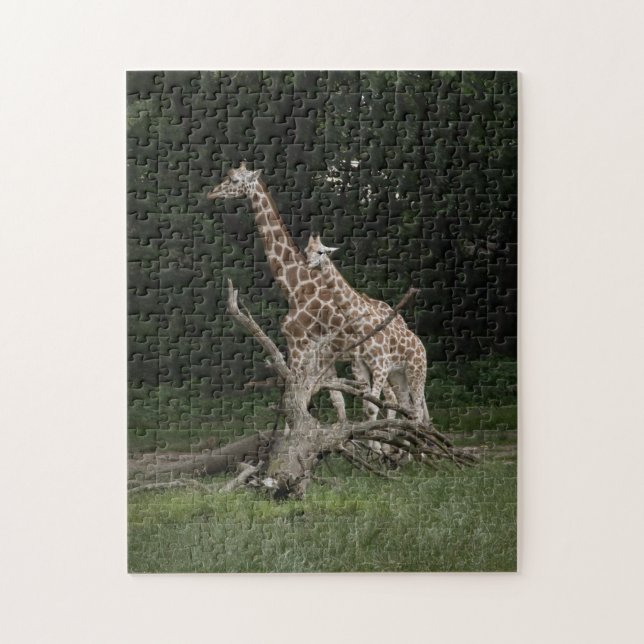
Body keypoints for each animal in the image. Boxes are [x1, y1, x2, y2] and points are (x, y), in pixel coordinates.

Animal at [207, 162, 397, 422]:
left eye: (234, 180)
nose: (212, 193)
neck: (294, 285)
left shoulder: (298, 345)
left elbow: (295, 402)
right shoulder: (320, 356)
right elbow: (334, 401)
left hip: (374, 360)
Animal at [305, 234, 430, 424]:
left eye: (321, 252)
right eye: (306, 251)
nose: (308, 263)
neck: (362, 326)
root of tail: (421, 347)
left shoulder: (380, 367)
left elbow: (372, 408)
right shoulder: (362, 367)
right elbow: (368, 408)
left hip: (416, 372)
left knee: (417, 409)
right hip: (398, 375)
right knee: (407, 407)